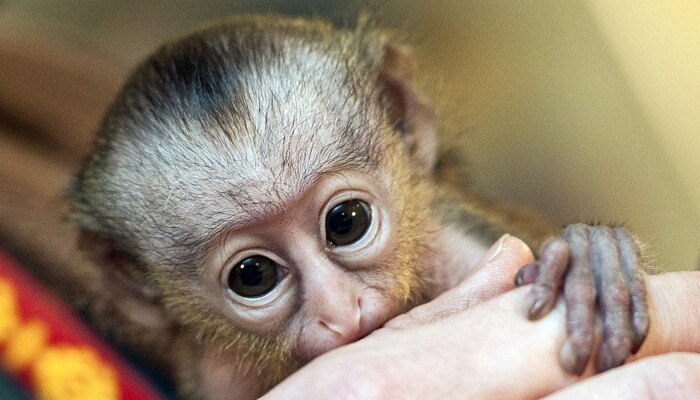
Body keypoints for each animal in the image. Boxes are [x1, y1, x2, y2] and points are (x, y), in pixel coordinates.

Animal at [68, 14, 648, 400]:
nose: (343, 313)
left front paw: (590, 264)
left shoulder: (453, 245)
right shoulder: (220, 371)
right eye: (253, 275)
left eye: (346, 223)